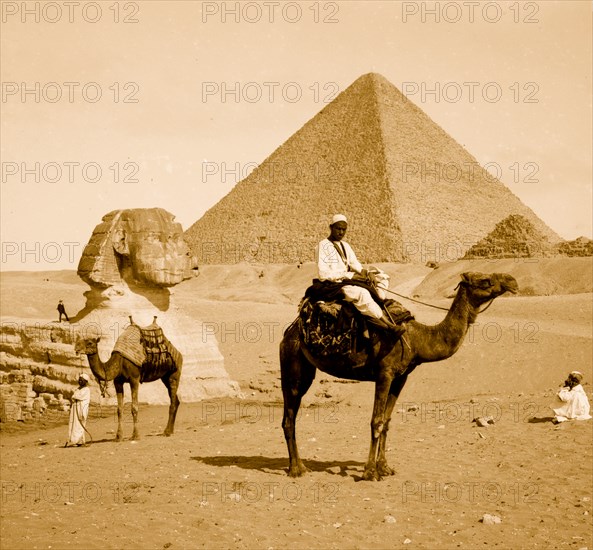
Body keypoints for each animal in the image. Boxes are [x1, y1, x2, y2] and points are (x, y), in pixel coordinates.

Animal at [280, 272, 516, 484]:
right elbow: (375, 421)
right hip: (293, 365)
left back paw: (299, 466)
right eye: (485, 280)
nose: (512, 281)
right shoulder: (384, 373)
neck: (418, 340)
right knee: (289, 418)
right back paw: (296, 469)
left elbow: (386, 421)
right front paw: (369, 473)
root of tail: (289, 331)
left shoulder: (401, 378)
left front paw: (385, 468)